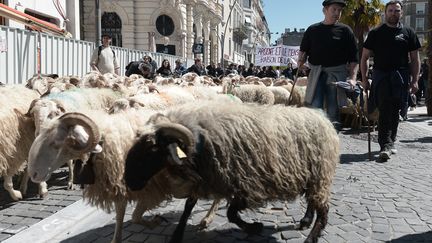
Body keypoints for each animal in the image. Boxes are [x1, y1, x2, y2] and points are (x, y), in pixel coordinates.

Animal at [123, 101, 340, 243]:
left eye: (152, 149)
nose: (129, 182)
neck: (203, 140)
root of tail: (322, 117)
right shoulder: (207, 178)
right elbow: (188, 207)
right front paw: (177, 235)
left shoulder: (249, 186)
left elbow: (230, 213)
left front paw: (254, 227)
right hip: (311, 175)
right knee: (312, 201)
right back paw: (305, 220)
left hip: (321, 173)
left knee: (323, 208)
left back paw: (311, 237)